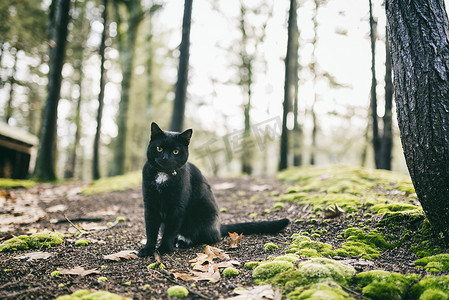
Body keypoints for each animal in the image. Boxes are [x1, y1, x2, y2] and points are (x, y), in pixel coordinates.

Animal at [138, 123, 288, 256]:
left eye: (175, 151)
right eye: (159, 149)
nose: (165, 158)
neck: (163, 175)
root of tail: (218, 226)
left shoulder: (177, 207)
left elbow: (170, 230)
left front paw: (164, 249)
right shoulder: (150, 205)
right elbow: (151, 230)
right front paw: (148, 249)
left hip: (203, 217)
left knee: (207, 237)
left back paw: (182, 242)